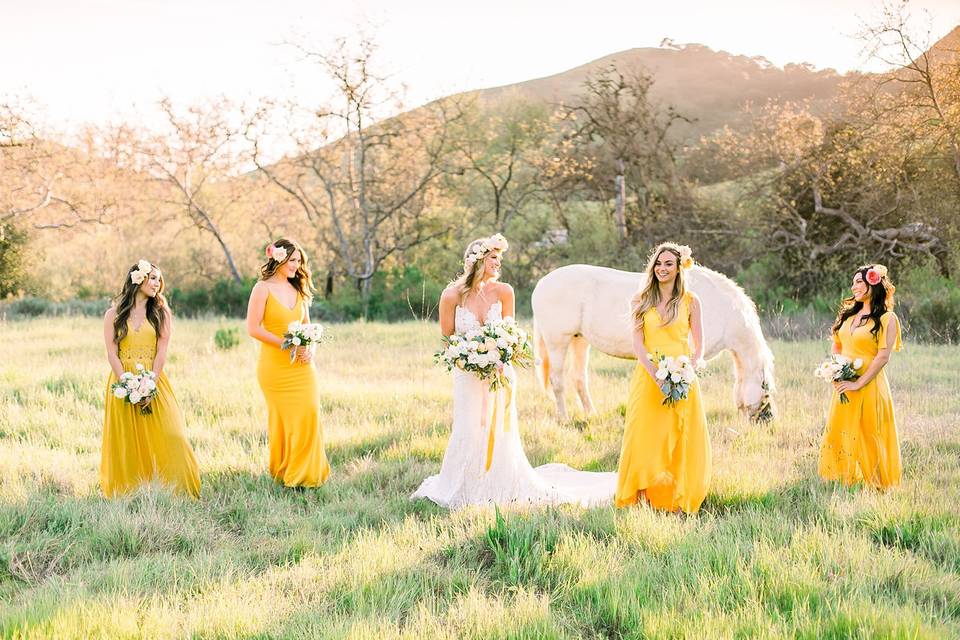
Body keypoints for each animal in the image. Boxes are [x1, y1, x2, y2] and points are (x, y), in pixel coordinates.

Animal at [528, 262, 776, 422]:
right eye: (765, 389)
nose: (768, 420)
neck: (725, 309)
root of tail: (541, 284)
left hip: (580, 341)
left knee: (579, 379)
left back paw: (591, 415)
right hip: (558, 342)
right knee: (557, 381)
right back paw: (564, 419)